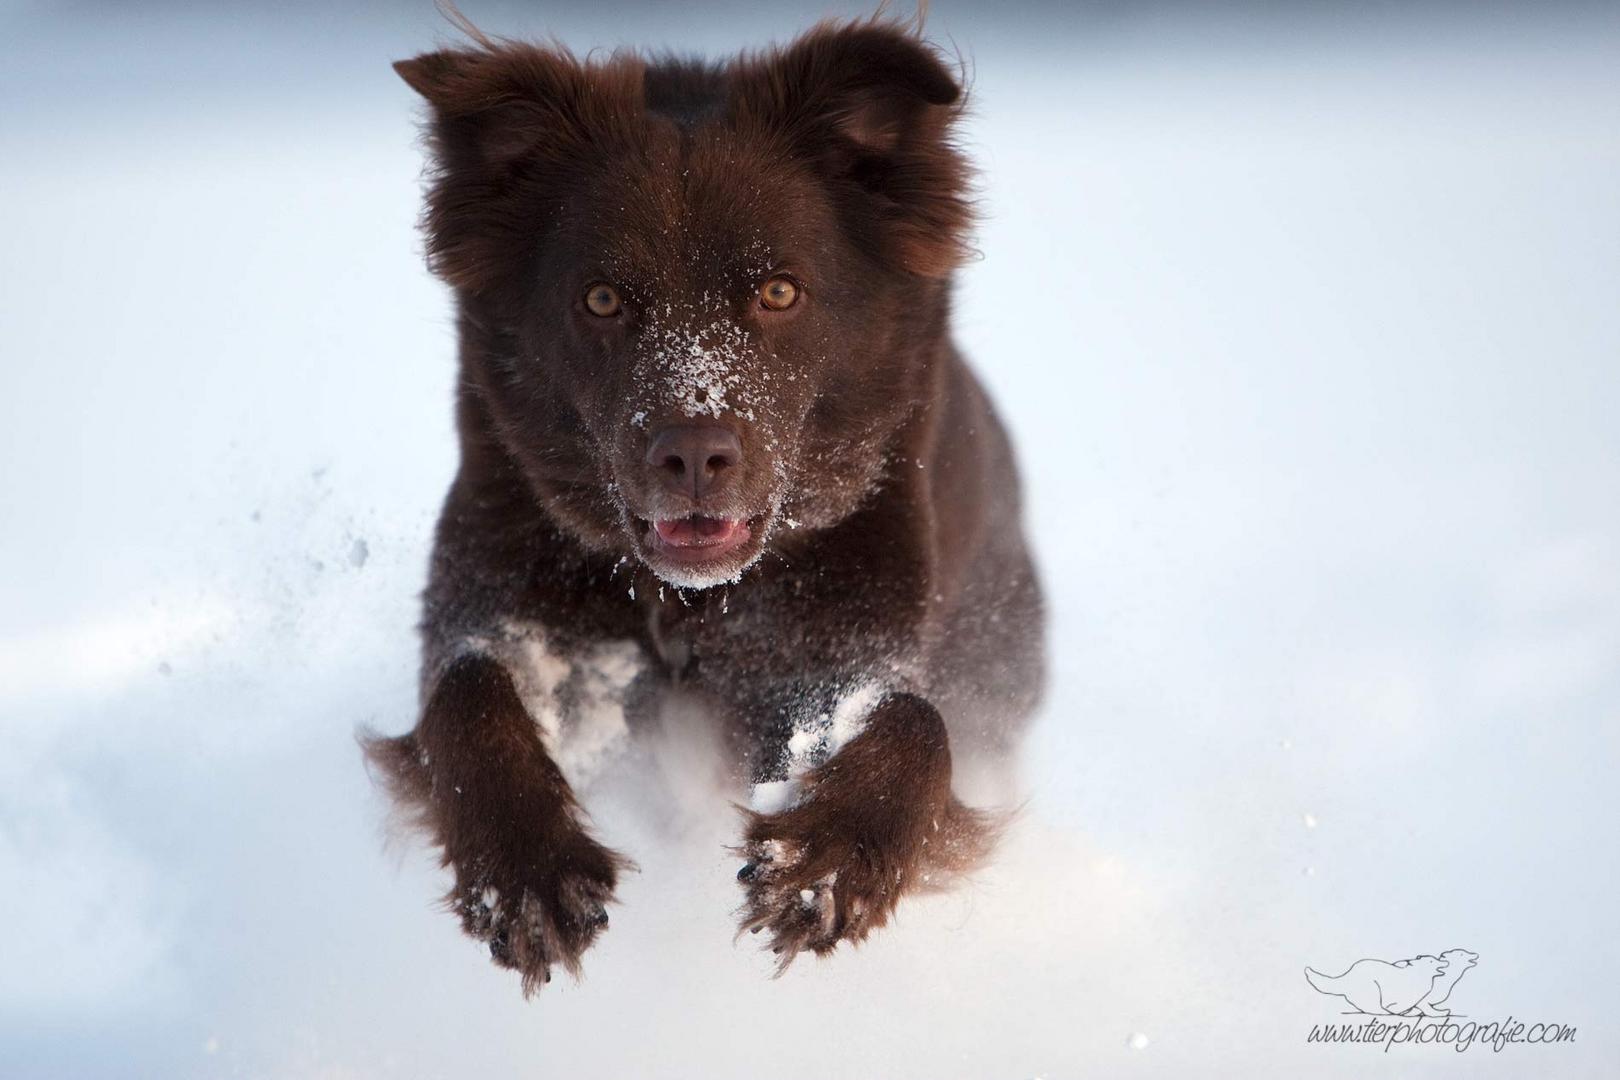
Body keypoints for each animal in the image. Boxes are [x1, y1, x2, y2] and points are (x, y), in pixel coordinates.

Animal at [366, 16, 1043, 997]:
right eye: (602, 298)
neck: (687, 604)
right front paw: (527, 872)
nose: (692, 454)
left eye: (779, 291)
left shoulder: (827, 643)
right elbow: (466, 692)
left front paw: (825, 863)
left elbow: (914, 722)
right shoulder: (510, 597)